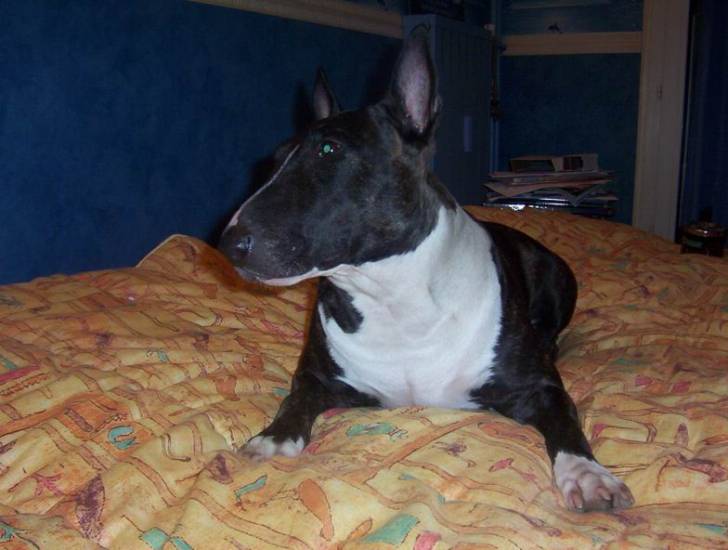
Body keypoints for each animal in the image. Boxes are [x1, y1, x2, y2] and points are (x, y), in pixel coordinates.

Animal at [218, 31, 634, 513]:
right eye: (276, 158)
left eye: (328, 150)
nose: (228, 243)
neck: (393, 299)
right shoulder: (318, 377)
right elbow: (294, 399)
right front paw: (272, 439)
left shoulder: (539, 387)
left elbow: (566, 419)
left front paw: (588, 475)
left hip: (557, 277)